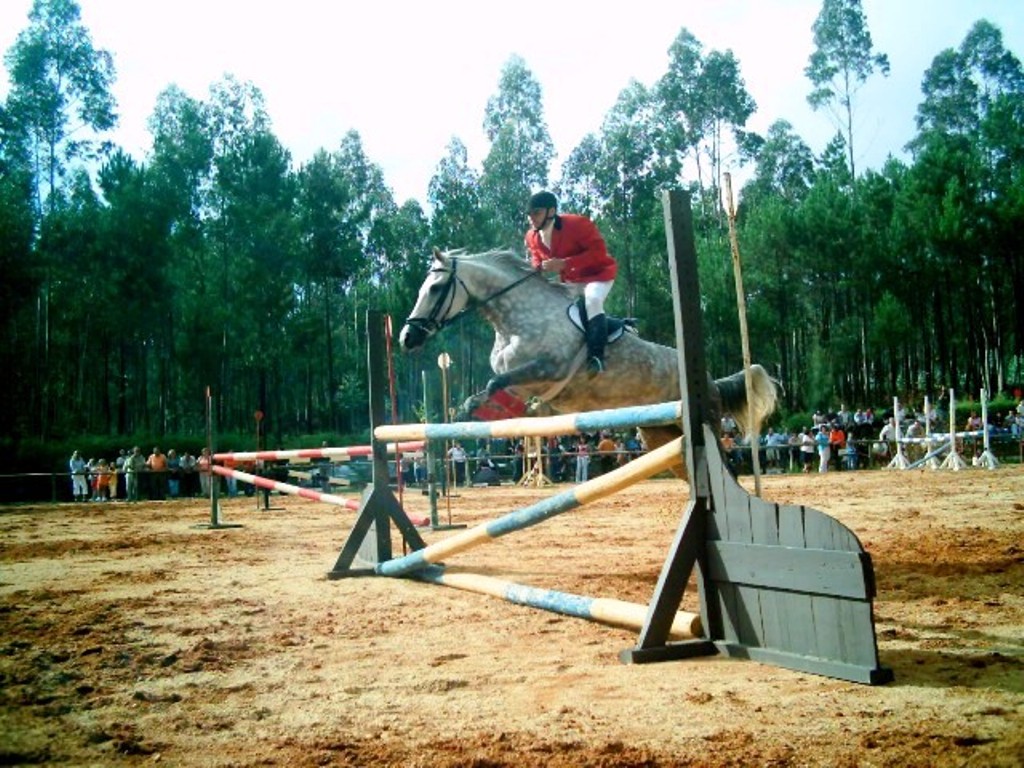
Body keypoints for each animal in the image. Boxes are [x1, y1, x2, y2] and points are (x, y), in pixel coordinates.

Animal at [397, 249, 774, 479]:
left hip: (699, 423)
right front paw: (472, 410)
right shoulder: (521, 380)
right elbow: (494, 387)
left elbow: (495, 384)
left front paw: (481, 411)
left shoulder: (550, 368)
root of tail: (708, 379)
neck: (513, 320)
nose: (406, 337)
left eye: (436, 288)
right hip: (658, 434)